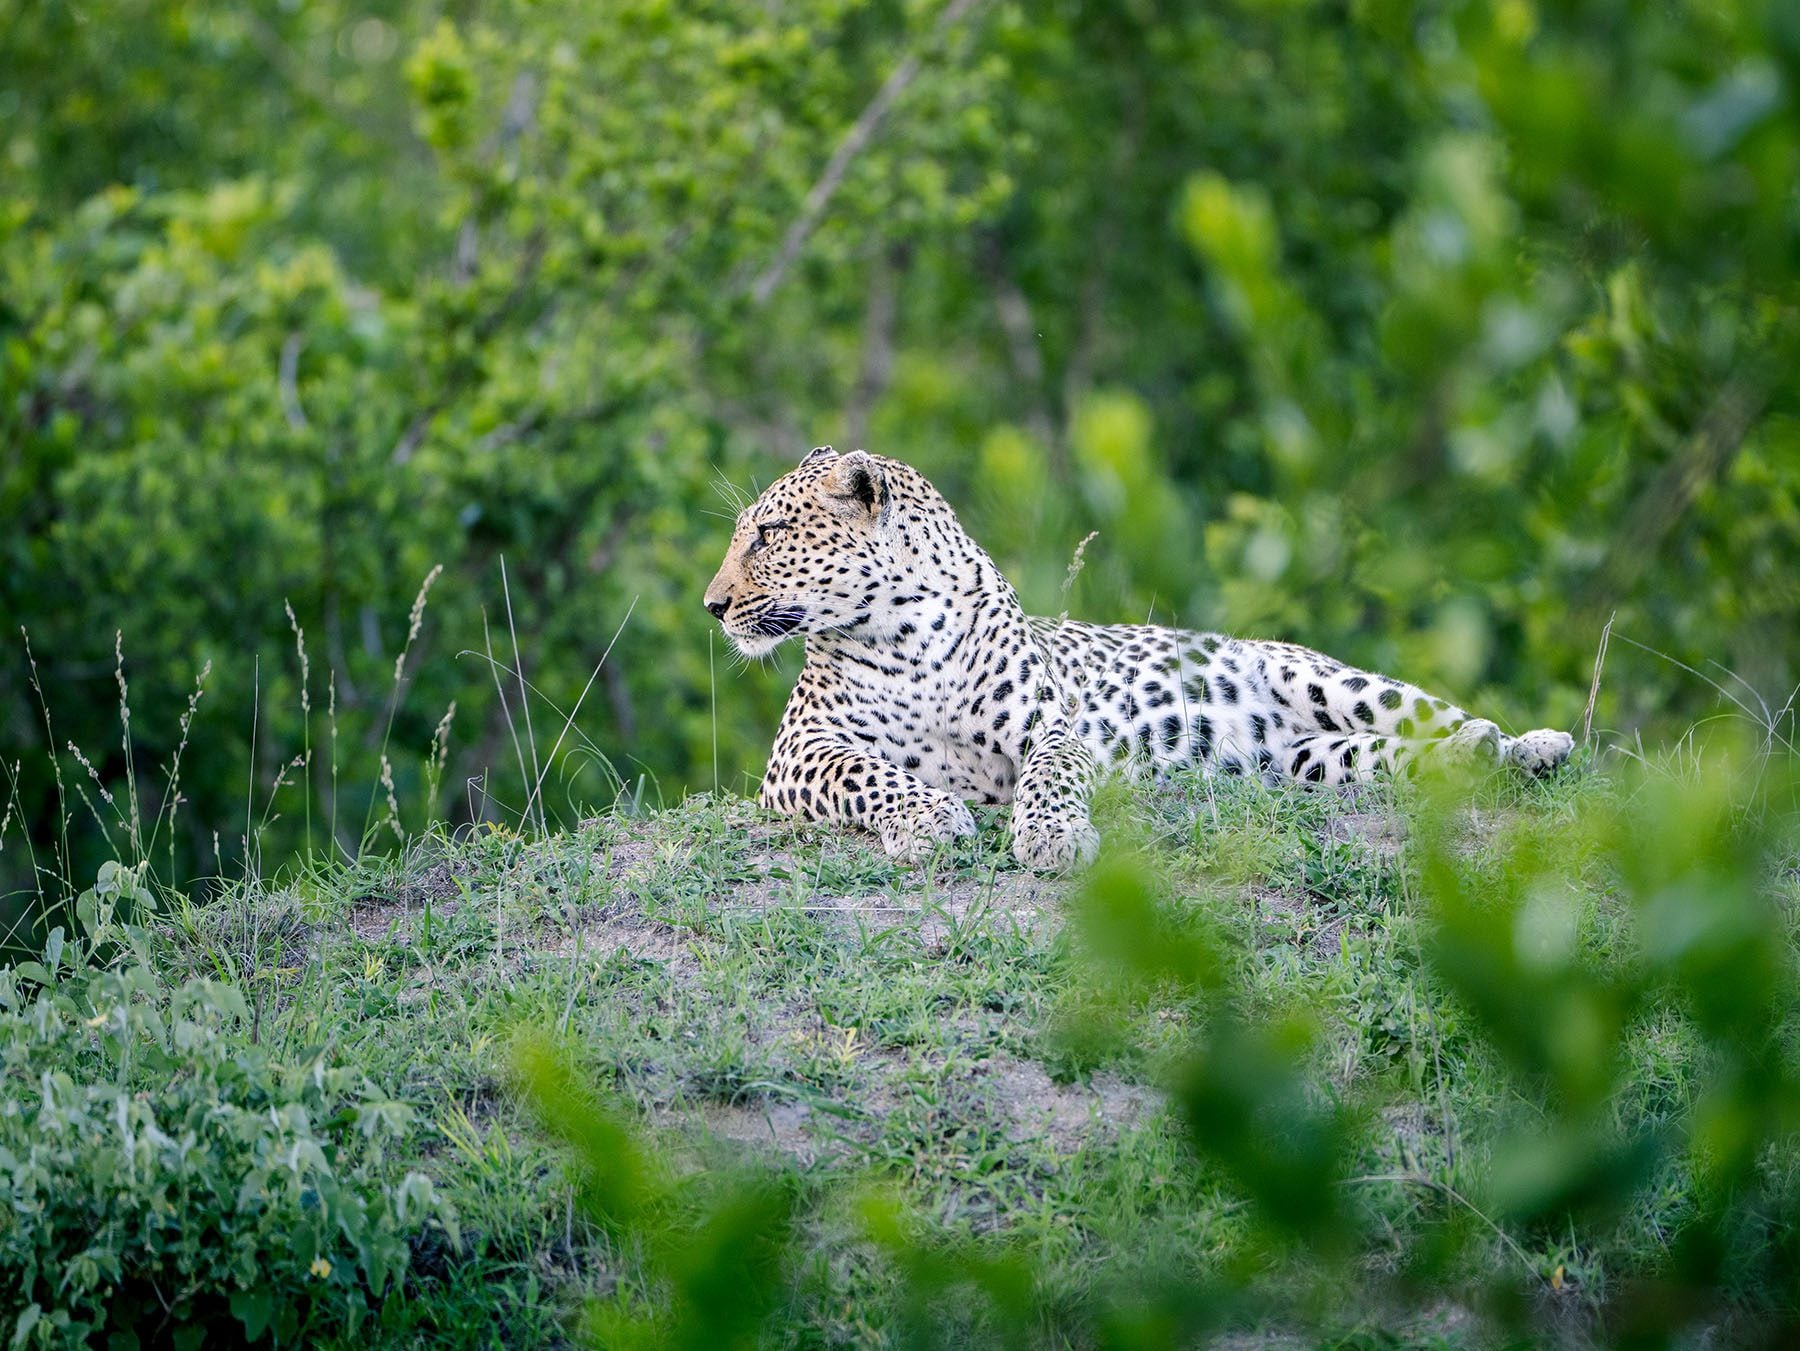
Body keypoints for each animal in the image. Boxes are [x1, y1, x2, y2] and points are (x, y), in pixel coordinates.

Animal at [704, 446, 1574, 872]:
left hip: (1329, 679)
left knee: (1434, 714)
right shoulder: (801, 751)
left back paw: (1533, 744)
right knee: (1398, 756)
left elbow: (1050, 774)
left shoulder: (1051, 725)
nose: (712, 605)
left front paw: (1051, 836)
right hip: (1307, 764)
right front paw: (931, 816)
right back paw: (1479, 755)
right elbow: (871, 774)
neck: (903, 629)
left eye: (768, 534)